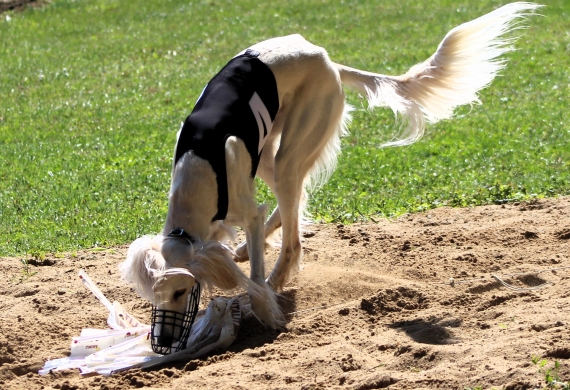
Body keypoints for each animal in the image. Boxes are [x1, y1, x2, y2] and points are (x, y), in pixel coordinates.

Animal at [118, 0, 536, 354]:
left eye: (180, 292)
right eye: (153, 297)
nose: (161, 343)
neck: (200, 167)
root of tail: (327, 58)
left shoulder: (244, 210)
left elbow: (254, 270)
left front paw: (264, 305)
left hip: (293, 146)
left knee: (292, 236)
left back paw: (275, 279)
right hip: (269, 153)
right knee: (291, 201)